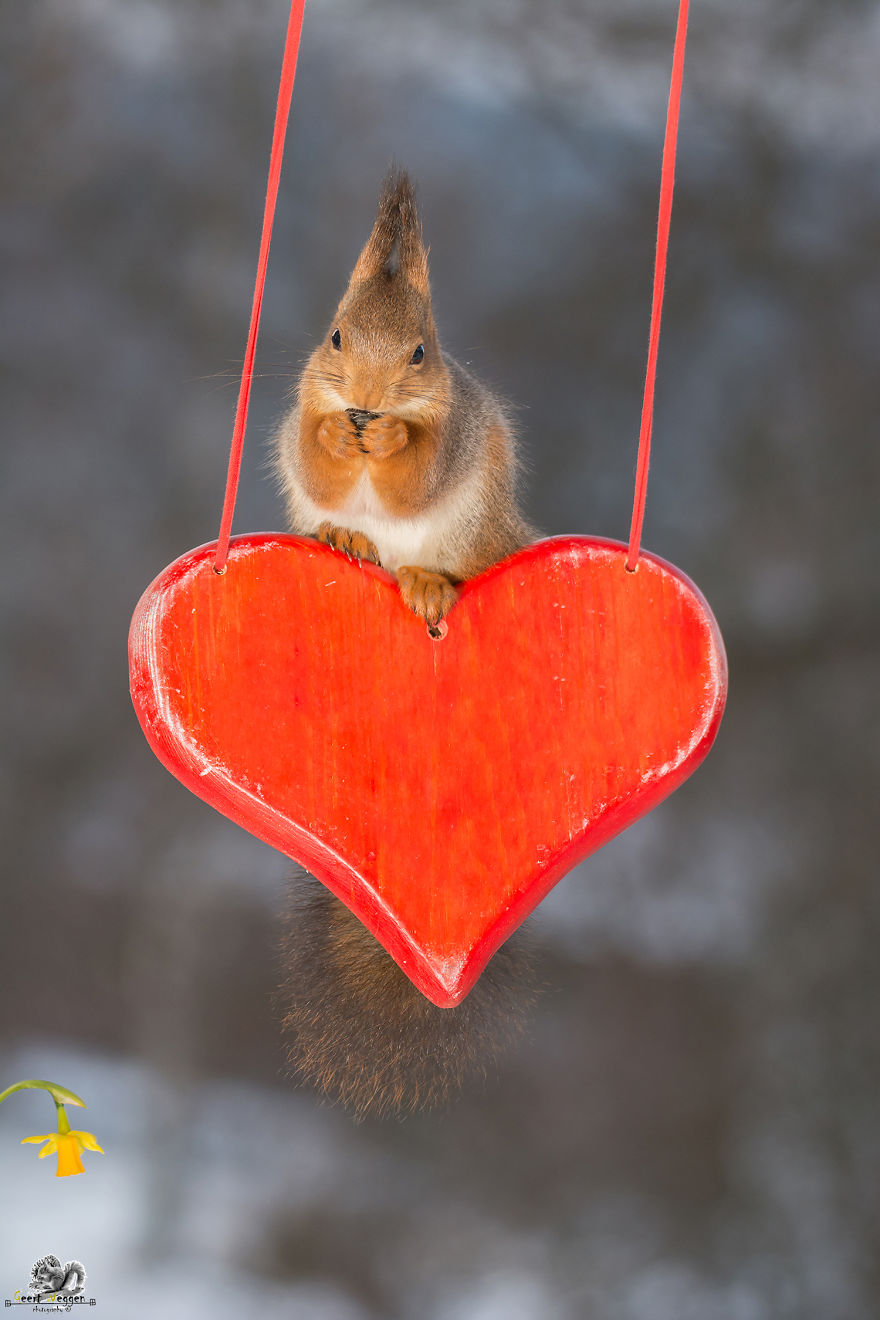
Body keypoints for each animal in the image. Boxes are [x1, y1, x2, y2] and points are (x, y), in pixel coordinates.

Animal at [273, 170, 538, 1119]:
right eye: (335, 335)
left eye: (422, 352)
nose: (371, 395)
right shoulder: (305, 403)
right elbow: (315, 459)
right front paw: (335, 439)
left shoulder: (447, 436)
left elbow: (413, 472)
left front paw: (388, 439)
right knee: (342, 524)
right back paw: (349, 541)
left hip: (468, 524)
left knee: (439, 560)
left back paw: (425, 582)